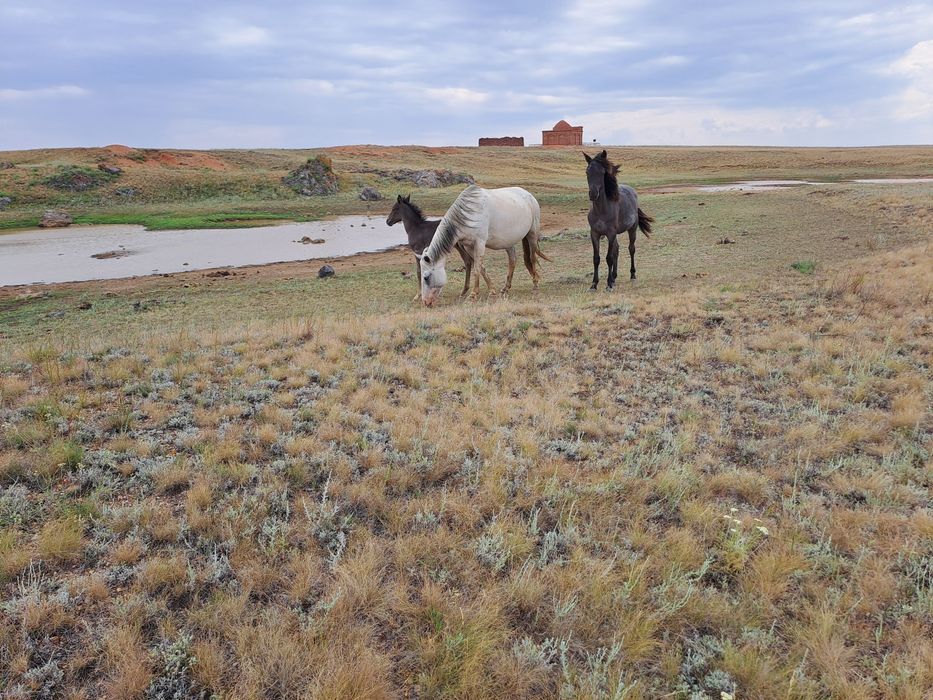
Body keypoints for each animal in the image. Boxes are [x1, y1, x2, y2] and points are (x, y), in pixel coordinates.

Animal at [418, 185, 550, 307]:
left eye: (426, 277)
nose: (425, 302)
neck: (469, 214)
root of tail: (529, 195)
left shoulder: (479, 243)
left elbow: (477, 268)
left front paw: (473, 295)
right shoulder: (469, 246)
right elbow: (481, 267)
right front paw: (492, 290)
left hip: (532, 235)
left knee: (532, 258)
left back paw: (535, 285)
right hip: (509, 243)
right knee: (513, 260)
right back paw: (505, 288)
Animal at [583, 150, 653, 290]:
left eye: (602, 173)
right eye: (587, 172)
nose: (593, 194)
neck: (601, 210)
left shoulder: (611, 233)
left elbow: (609, 257)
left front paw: (609, 284)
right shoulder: (594, 233)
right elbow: (596, 258)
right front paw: (594, 284)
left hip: (632, 229)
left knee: (631, 249)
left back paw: (632, 275)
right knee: (617, 249)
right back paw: (614, 276)